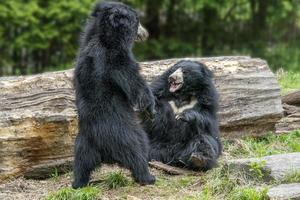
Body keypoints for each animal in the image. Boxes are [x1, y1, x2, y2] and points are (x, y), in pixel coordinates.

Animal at [73, 1, 157, 188]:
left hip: (83, 142)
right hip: (124, 132)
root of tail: (102, 148)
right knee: (138, 149)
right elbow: (134, 80)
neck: (104, 37)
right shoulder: (115, 57)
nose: (146, 33)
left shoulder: (86, 41)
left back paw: (78, 182)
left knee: (81, 162)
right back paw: (148, 177)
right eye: (137, 21)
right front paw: (150, 108)